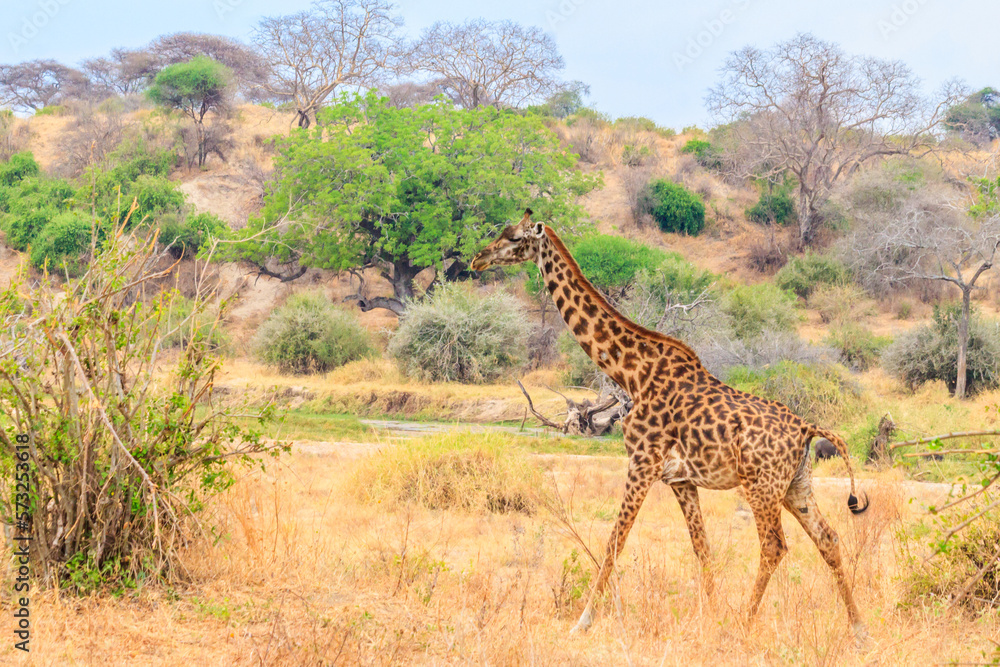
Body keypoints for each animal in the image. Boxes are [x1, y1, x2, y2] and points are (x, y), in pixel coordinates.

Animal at [471, 209, 871, 642]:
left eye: (513, 236)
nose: (478, 259)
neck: (631, 372)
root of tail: (806, 428)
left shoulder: (642, 463)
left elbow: (614, 542)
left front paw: (582, 622)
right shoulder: (681, 480)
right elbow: (702, 549)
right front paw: (711, 618)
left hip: (761, 487)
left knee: (774, 546)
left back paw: (745, 623)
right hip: (796, 485)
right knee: (828, 538)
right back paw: (859, 628)